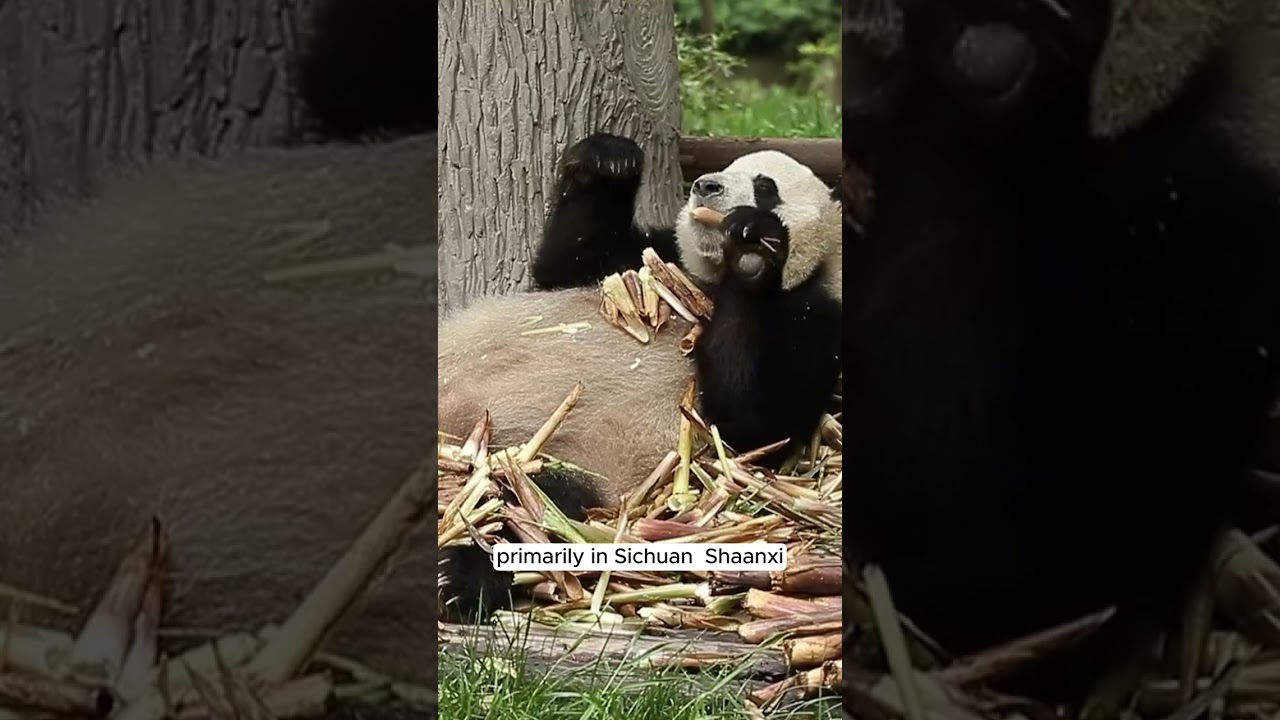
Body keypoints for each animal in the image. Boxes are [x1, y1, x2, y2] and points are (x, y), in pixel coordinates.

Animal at [437, 134, 843, 621]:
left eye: (766, 187)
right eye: (726, 169)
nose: (705, 186)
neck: (707, 281)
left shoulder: (818, 320)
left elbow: (754, 420)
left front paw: (750, 250)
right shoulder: (652, 261)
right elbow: (566, 265)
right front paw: (608, 160)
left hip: (574, 460)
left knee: (531, 507)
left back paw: (456, 573)